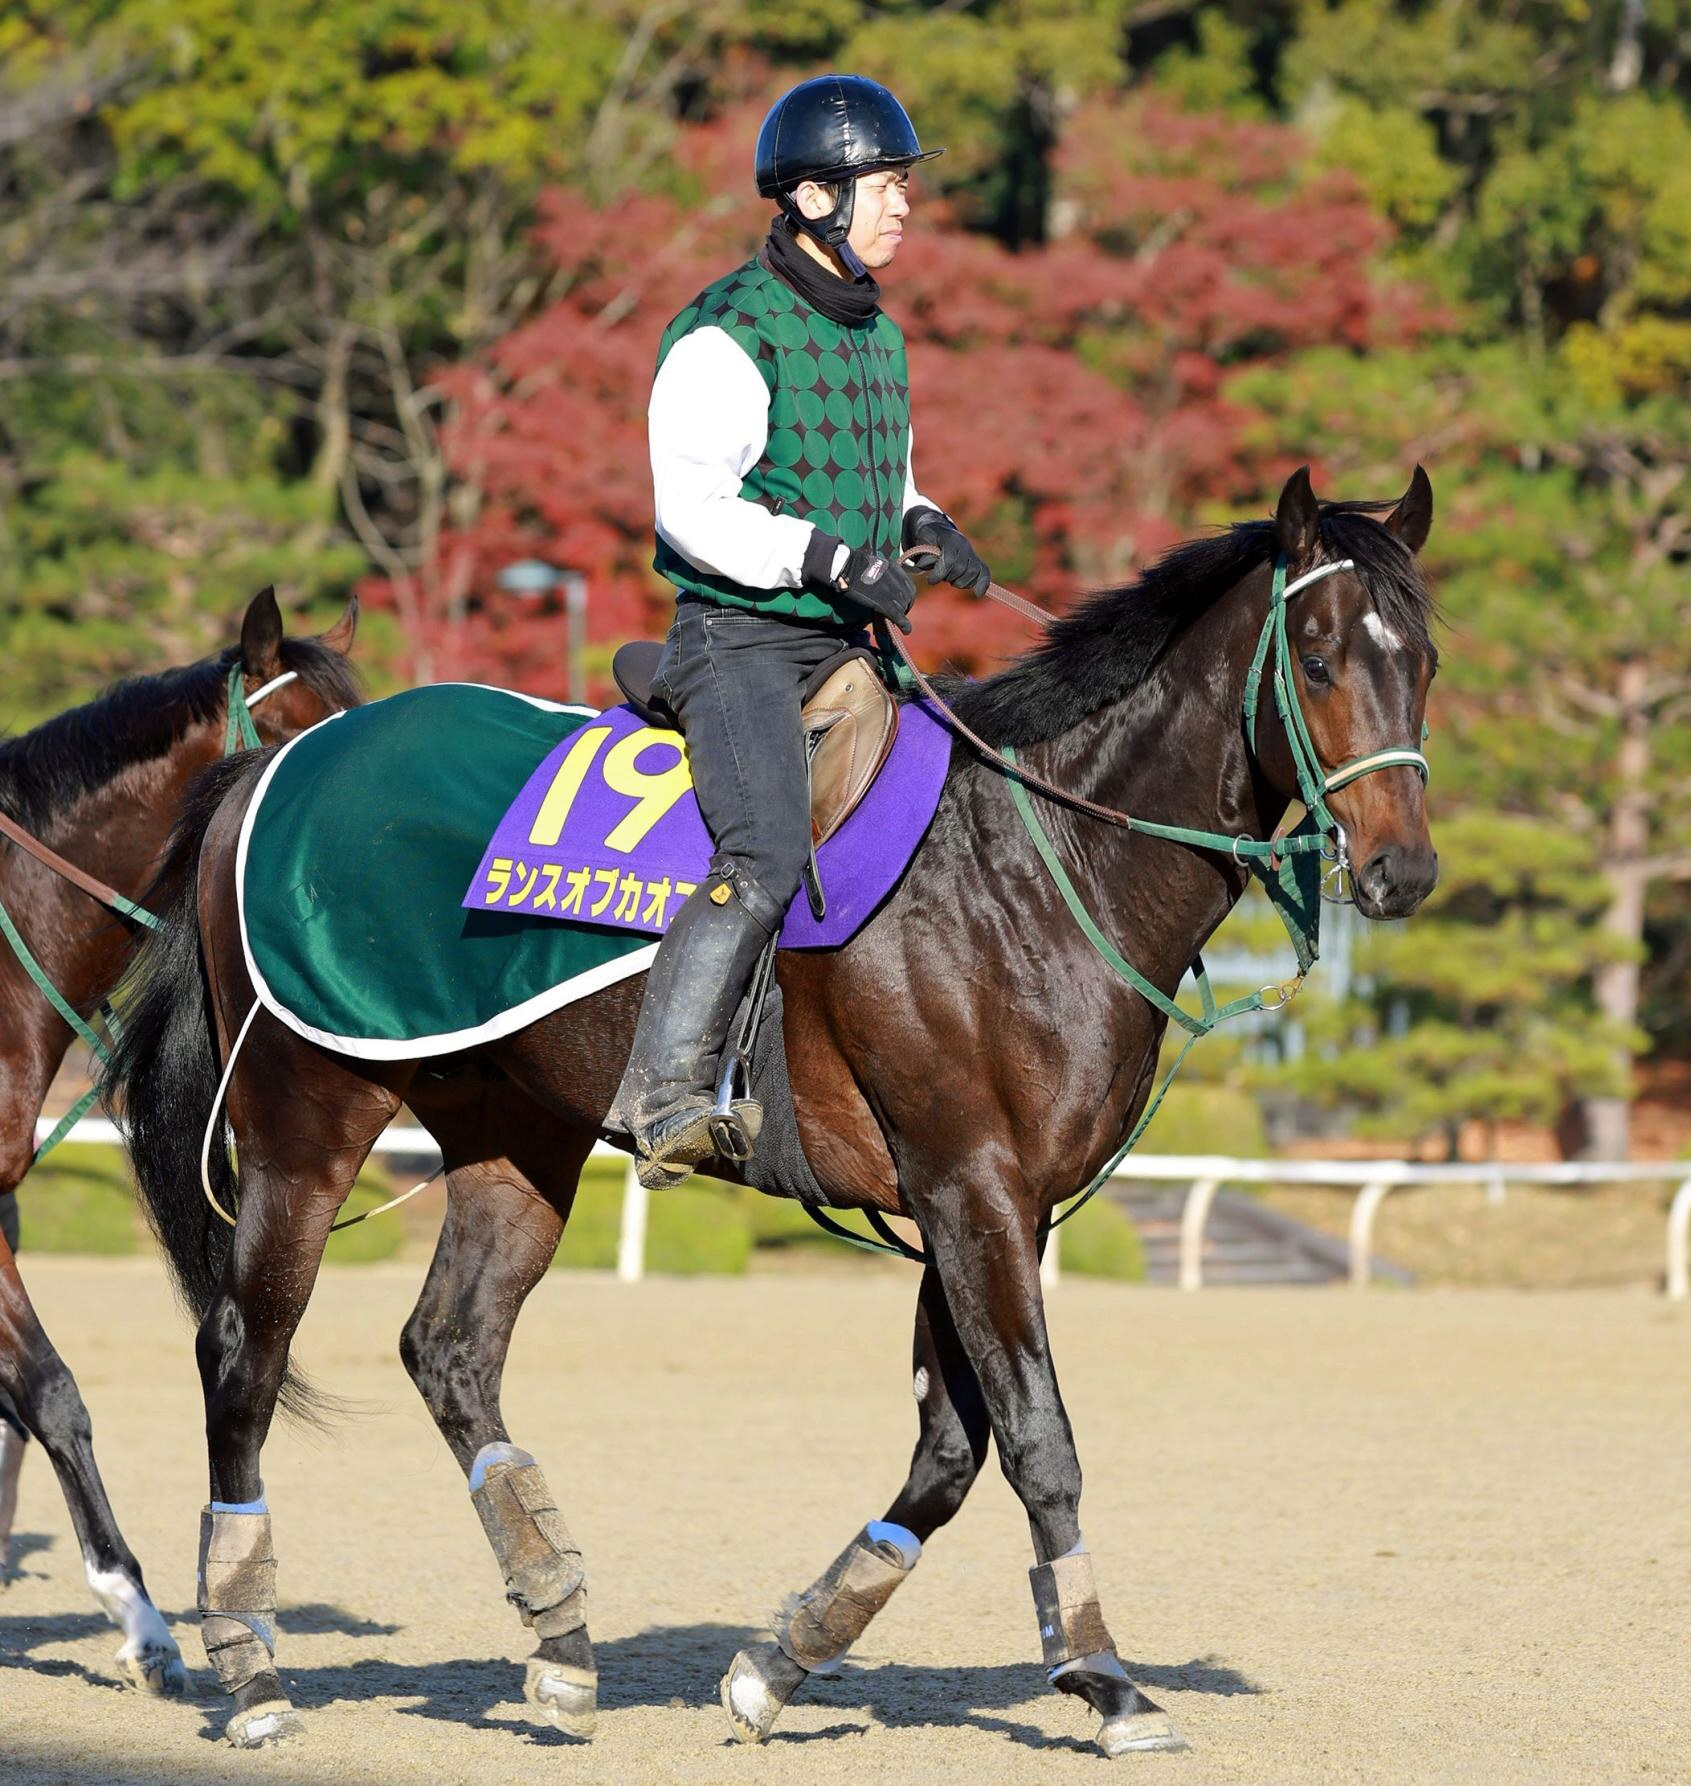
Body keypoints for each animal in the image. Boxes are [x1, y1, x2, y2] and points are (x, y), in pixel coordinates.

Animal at [99, 467, 1435, 1750]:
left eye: (1421, 658)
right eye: (1317, 656)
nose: (1401, 870)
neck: (1025, 858)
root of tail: (270, 765)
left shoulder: (972, 1205)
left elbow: (948, 1454)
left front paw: (779, 1661)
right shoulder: (973, 1188)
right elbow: (1035, 1441)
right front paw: (1105, 1679)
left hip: (512, 1128)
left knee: (450, 1348)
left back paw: (560, 1637)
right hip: (306, 1116)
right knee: (244, 1350)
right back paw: (252, 1662)